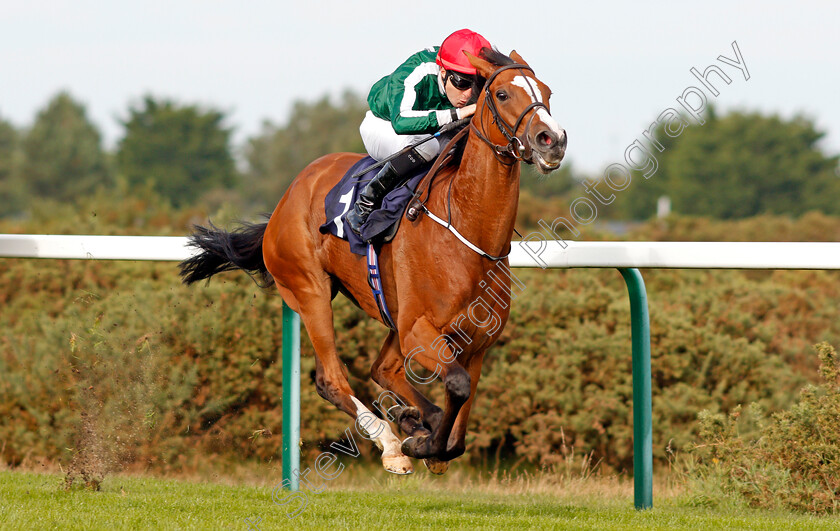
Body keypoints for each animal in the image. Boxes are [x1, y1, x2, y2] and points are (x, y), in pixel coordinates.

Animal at [180, 48, 568, 474]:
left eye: (547, 92)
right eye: (501, 94)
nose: (552, 140)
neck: (468, 232)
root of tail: (288, 195)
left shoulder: (476, 343)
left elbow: (458, 425)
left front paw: (427, 434)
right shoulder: (418, 329)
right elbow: (456, 386)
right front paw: (422, 443)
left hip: (391, 315)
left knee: (383, 368)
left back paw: (410, 420)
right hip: (310, 290)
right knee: (332, 379)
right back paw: (393, 444)